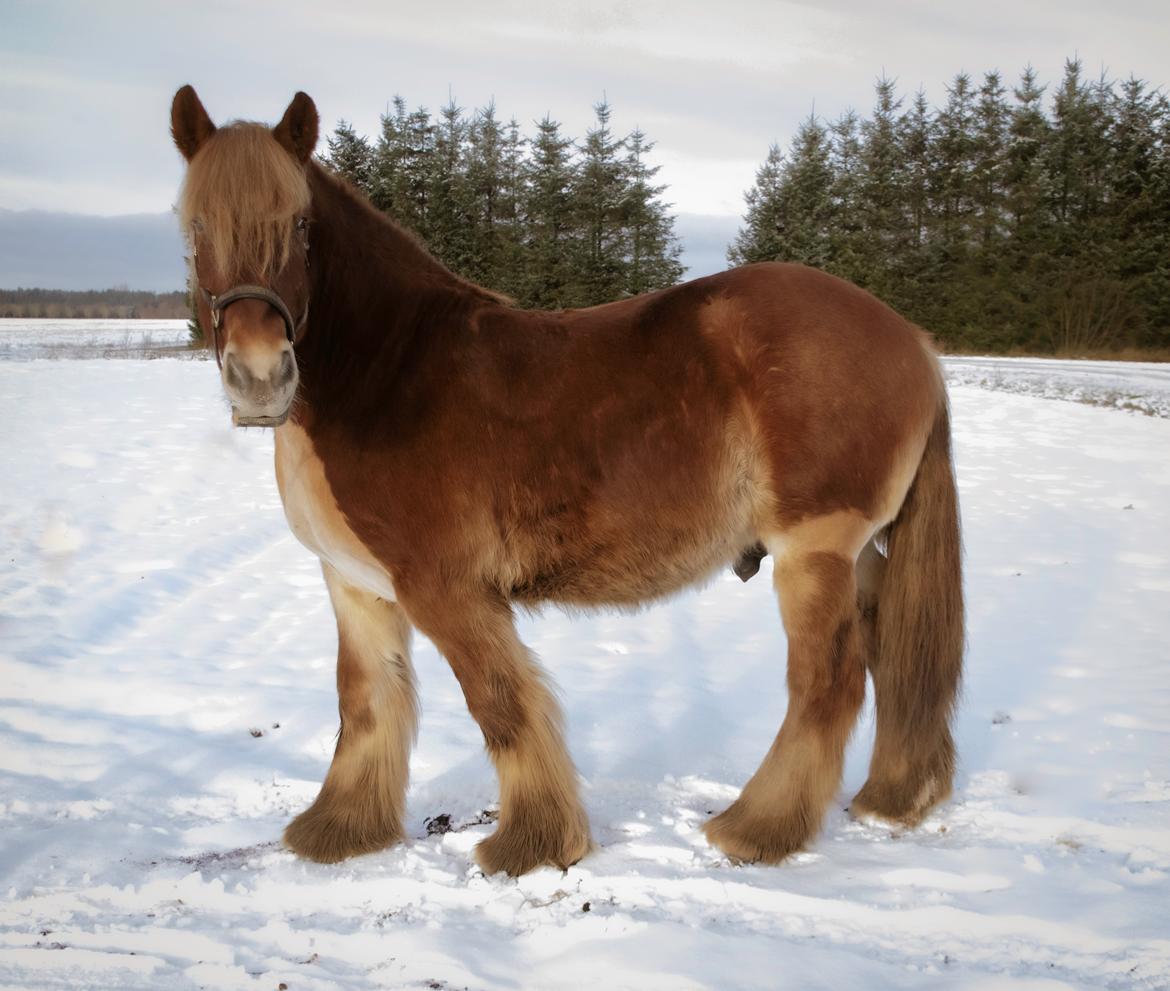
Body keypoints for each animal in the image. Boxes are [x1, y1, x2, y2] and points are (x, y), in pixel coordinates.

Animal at [169, 85, 964, 875]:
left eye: (300, 224)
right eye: (196, 223)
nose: (259, 377)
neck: (388, 374)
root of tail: (913, 341)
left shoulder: (447, 588)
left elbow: (501, 704)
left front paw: (533, 842)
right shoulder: (355, 583)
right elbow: (365, 701)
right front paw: (339, 831)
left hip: (814, 551)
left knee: (829, 683)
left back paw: (755, 828)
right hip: (861, 554)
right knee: (894, 650)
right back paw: (892, 795)